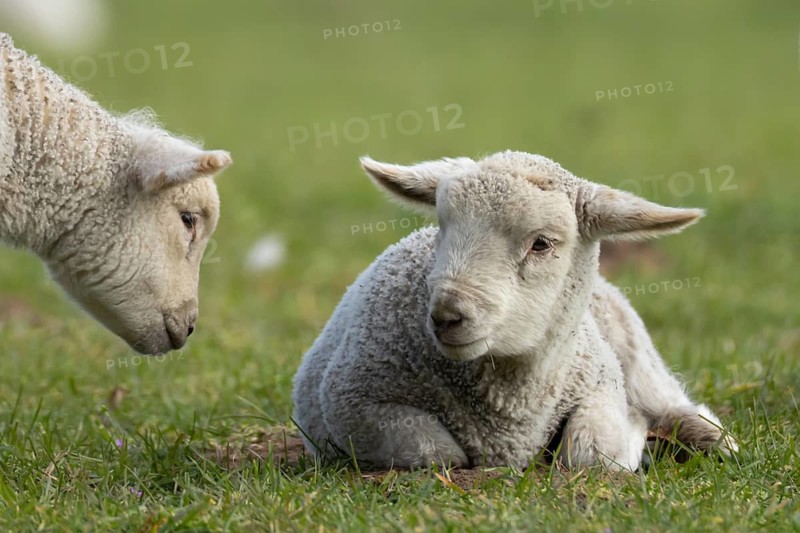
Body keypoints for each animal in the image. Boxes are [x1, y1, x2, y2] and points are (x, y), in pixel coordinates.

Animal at [292, 151, 736, 470]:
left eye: (541, 243)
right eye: (442, 228)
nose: (446, 316)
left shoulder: (602, 385)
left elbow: (589, 454)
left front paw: (635, 434)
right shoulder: (352, 403)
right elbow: (436, 454)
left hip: (636, 356)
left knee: (675, 404)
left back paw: (709, 438)